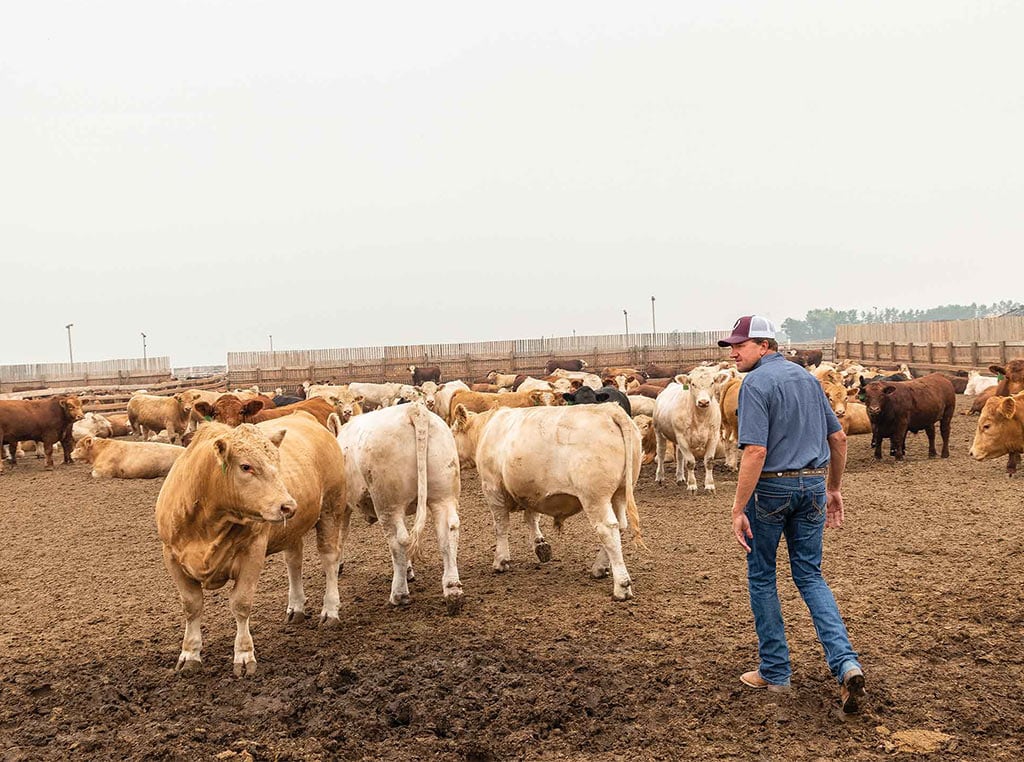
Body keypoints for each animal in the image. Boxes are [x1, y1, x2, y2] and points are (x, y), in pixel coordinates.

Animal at [154, 413, 348, 675]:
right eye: (246, 466)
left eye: (277, 461)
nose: (288, 506)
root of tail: (305, 416)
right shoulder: (172, 556)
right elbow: (191, 605)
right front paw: (189, 654)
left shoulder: (253, 551)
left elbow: (241, 603)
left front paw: (244, 655)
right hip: (292, 530)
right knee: (294, 561)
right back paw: (296, 607)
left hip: (331, 508)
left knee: (329, 561)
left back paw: (330, 611)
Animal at [329, 405, 462, 614]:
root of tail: (414, 409)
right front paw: (409, 570)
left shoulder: (342, 506)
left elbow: (341, 535)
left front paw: (338, 565)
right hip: (443, 496)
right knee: (447, 533)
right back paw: (453, 591)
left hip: (388, 504)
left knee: (398, 541)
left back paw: (399, 595)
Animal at [452, 401, 643, 602]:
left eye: (452, 431)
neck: (487, 429)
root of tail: (609, 408)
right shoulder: (532, 490)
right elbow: (531, 517)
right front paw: (540, 544)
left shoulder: (492, 488)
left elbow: (501, 525)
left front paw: (501, 560)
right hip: (619, 493)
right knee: (620, 525)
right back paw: (599, 567)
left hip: (595, 497)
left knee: (608, 529)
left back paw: (621, 586)